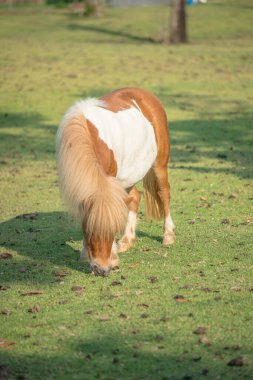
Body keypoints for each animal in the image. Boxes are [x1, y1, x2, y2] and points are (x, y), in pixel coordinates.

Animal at [56, 87, 175, 276]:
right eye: (88, 230)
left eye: (111, 230)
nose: (101, 270)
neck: (87, 133)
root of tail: (146, 94)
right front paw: (85, 252)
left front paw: (113, 258)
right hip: (128, 177)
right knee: (135, 197)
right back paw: (127, 240)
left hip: (159, 164)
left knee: (164, 193)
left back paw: (168, 236)